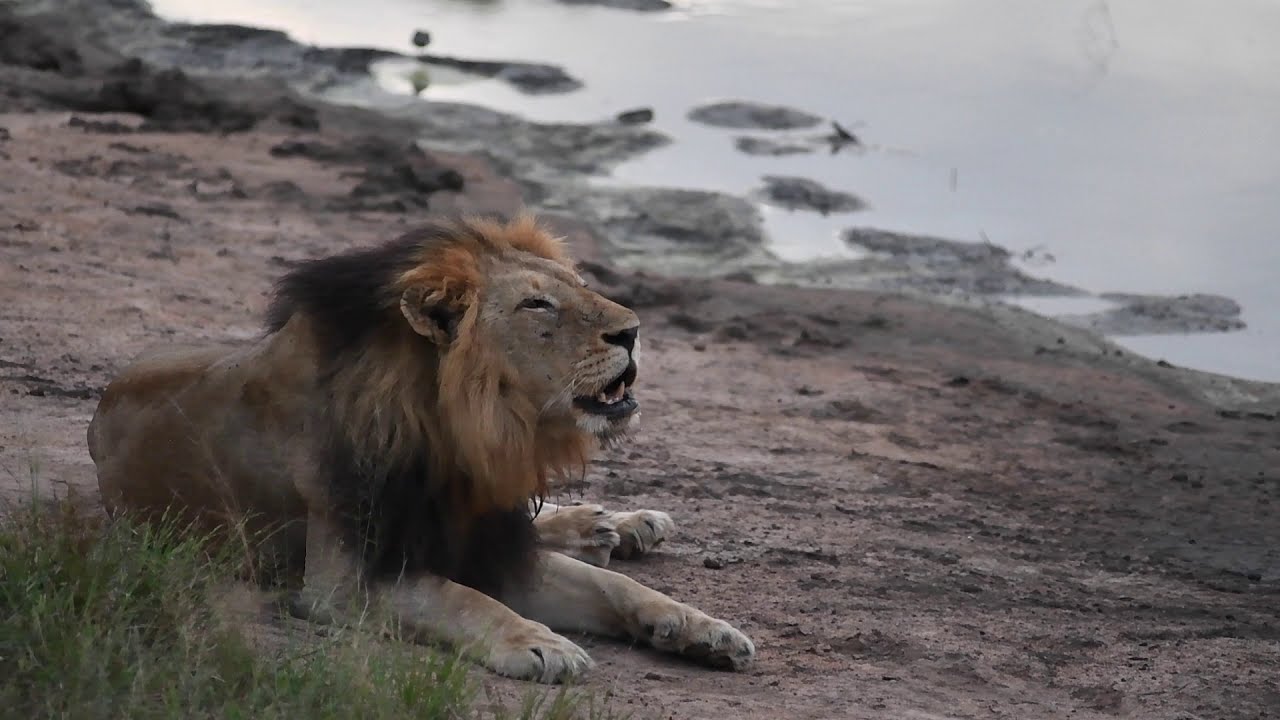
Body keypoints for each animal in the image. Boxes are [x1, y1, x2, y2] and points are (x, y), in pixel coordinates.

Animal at [87, 215, 755, 683]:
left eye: (580, 286)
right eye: (537, 303)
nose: (633, 331)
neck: (459, 439)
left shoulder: (492, 543)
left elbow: (609, 586)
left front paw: (700, 628)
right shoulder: (343, 580)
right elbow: (460, 597)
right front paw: (539, 643)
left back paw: (617, 523)